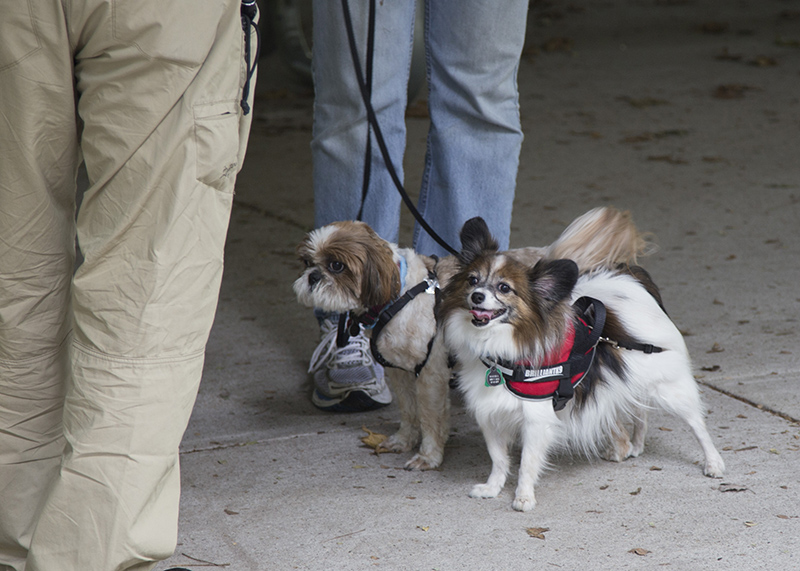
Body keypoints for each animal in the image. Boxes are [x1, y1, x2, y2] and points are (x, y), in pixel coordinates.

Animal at [294, 209, 656, 474]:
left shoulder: (430, 374)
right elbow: (409, 412)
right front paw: (403, 440)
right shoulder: (400, 373)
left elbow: (429, 417)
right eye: (307, 262)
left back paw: (620, 448)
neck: (399, 294)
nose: (312, 277)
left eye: (336, 265)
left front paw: (428, 455)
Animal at [438, 217, 724, 512]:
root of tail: (630, 280)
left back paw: (714, 463)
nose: (477, 296)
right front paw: (492, 488)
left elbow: (527, 462)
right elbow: (498, 459)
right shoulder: (490, 414)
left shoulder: (536, 419)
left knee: (697, 425)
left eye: (504, 288)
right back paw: (636, 444)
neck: (500, 352)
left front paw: (524, 497)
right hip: (632, 378)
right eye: (472, 280)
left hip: (669, 389)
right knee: (640, 411)